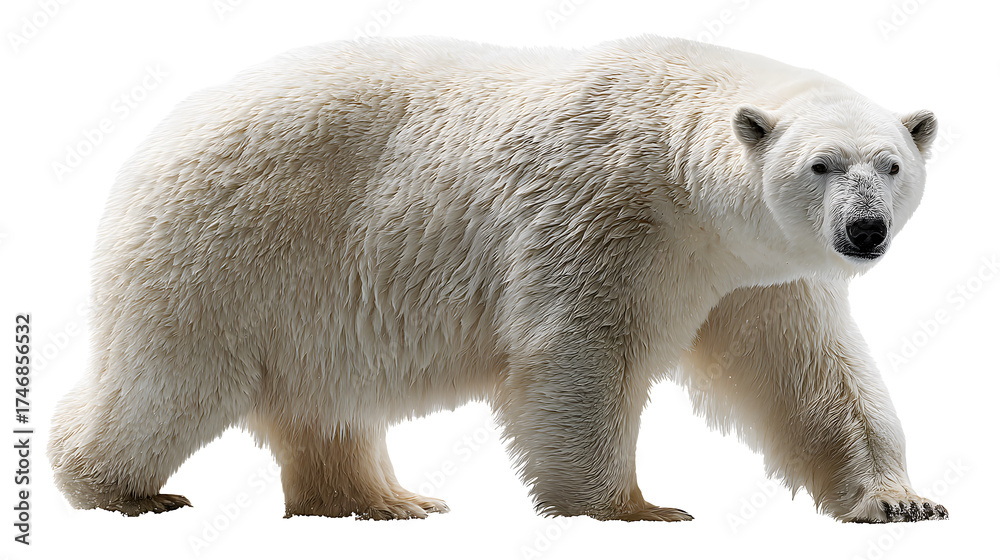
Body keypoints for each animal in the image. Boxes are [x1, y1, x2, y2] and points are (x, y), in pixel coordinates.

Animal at [49, 35, 947, 523]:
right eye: (820, 164)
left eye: (891, 164)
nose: (863, 231)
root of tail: (150, 145)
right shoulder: (608, 211)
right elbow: (580, 349)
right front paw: (632, 506)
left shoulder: (755, 271)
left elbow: (811, 374)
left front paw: (901, 499)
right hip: (227, 252)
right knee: (172, 380)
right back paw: (116, 488)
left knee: (327, 400)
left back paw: (383, 500)